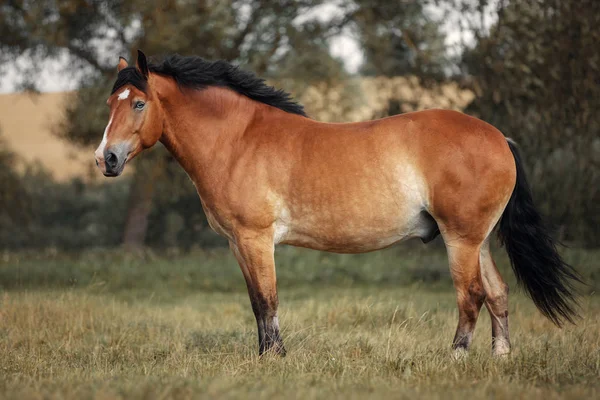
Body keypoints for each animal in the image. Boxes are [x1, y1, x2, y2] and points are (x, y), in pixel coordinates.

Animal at [95, 49, 580, 356]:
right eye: (110, 103)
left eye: (139, 103)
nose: (106, 159)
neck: (238, 139)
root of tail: (499, 137)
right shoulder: (238, 244)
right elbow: (256, 302)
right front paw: (265, 355)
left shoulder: (256, 239)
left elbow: (267, 300)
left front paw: (275, 359)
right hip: (477, 240)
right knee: (497, 293)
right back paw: (501, 358)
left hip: (461, 240)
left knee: (472, 295)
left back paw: (456, 357)